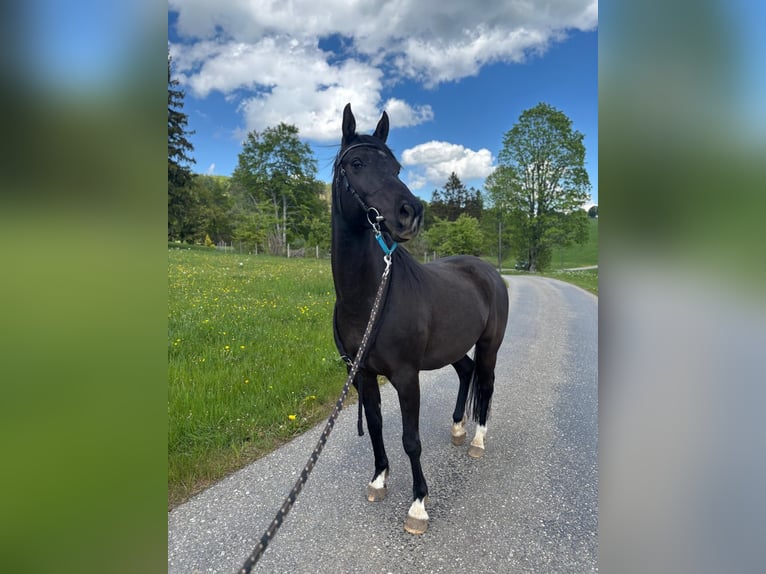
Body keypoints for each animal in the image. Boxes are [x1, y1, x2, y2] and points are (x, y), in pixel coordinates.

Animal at [331, 103, 509, 535]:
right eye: (357, 163)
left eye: (396, 166)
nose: (410, 213)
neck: (371, 299)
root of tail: (488, 270)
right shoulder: (363, 375)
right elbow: (376, 425)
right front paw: (379, 480)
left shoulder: (406, 376)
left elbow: (411, 439)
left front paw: (418, 505)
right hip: (453, 348)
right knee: (467, 372)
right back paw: (458, 428)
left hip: (490, 346)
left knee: (487, 384)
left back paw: (477, 440)